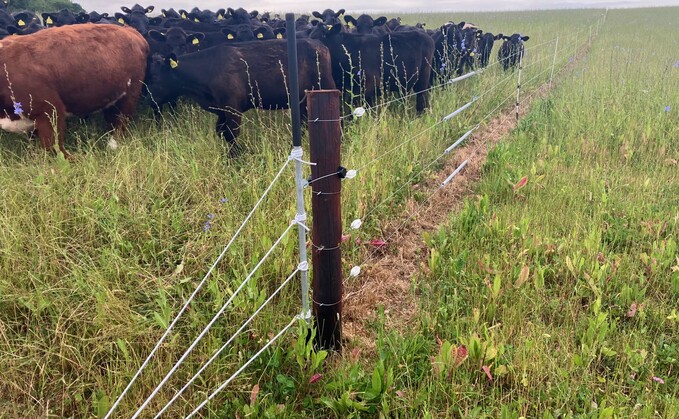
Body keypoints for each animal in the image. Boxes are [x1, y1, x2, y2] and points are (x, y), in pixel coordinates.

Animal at [0, 23, 149, 158]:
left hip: (130, 94)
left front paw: (74, 160)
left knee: (120, 122)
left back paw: (112, 146)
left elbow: (54, 146)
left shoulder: (51, 109)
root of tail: (130, 30)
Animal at [146, 39, 334, 151]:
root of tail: (319, 44)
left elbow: (232, 134)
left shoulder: (232, 108)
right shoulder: (221, 110)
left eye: (154, 77)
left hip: (325, 88)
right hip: (303, 102)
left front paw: (237, 159)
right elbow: (222, 132)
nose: (149, 101)